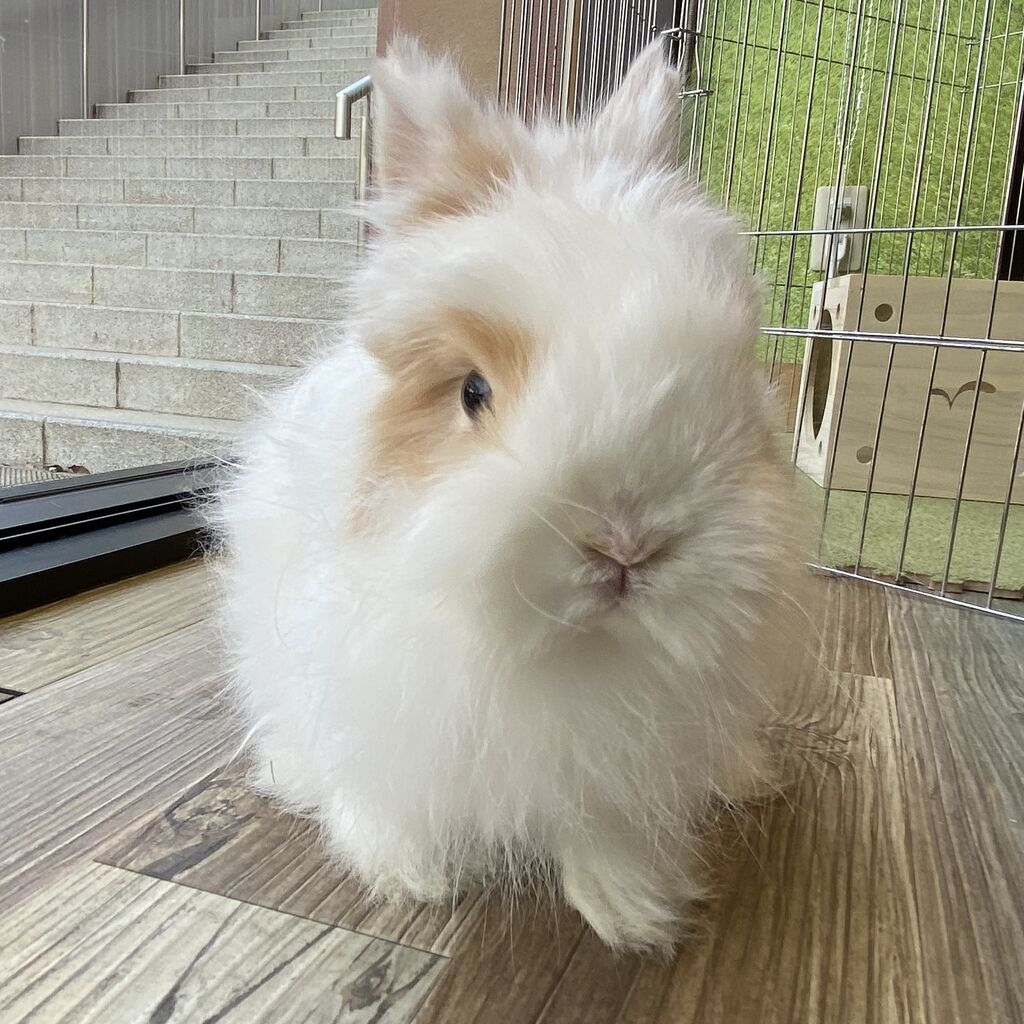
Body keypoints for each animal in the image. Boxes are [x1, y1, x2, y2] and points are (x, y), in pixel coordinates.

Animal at [214, 35, 808, 954]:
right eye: (473, 392)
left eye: (733, 380)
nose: (628, 544)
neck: (559, 658)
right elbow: (378, 789)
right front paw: (406, 875)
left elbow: (604, 827)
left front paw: (632, 908)